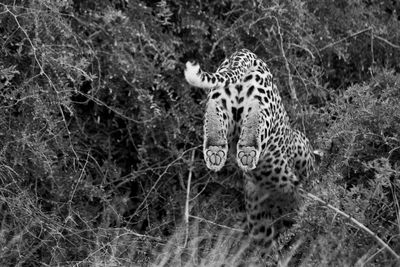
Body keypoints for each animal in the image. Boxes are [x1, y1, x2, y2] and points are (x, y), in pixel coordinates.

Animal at [184, 48, 316, 255]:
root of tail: (243, 54)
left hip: (219, 104)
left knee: (214, 128)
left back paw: (216, 154)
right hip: (262, 110)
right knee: (254, 131)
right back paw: (248, 156)